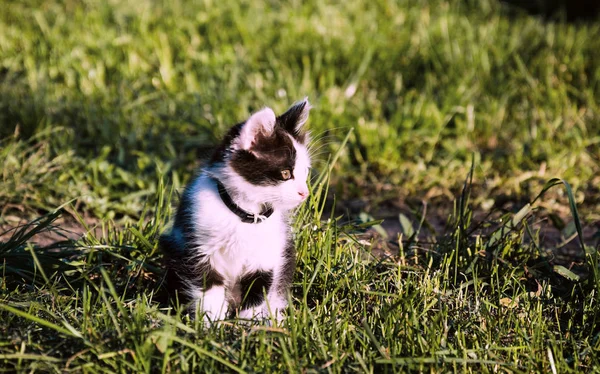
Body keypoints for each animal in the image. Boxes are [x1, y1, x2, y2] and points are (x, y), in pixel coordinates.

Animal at [159, 98, 312, 322]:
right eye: (285, 173)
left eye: (305, 172)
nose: (305, 193)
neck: (245, 214)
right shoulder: (198, 247)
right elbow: (209, 288)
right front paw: (211, 324)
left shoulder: (267, 255)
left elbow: (258, 289)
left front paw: (249, 324)